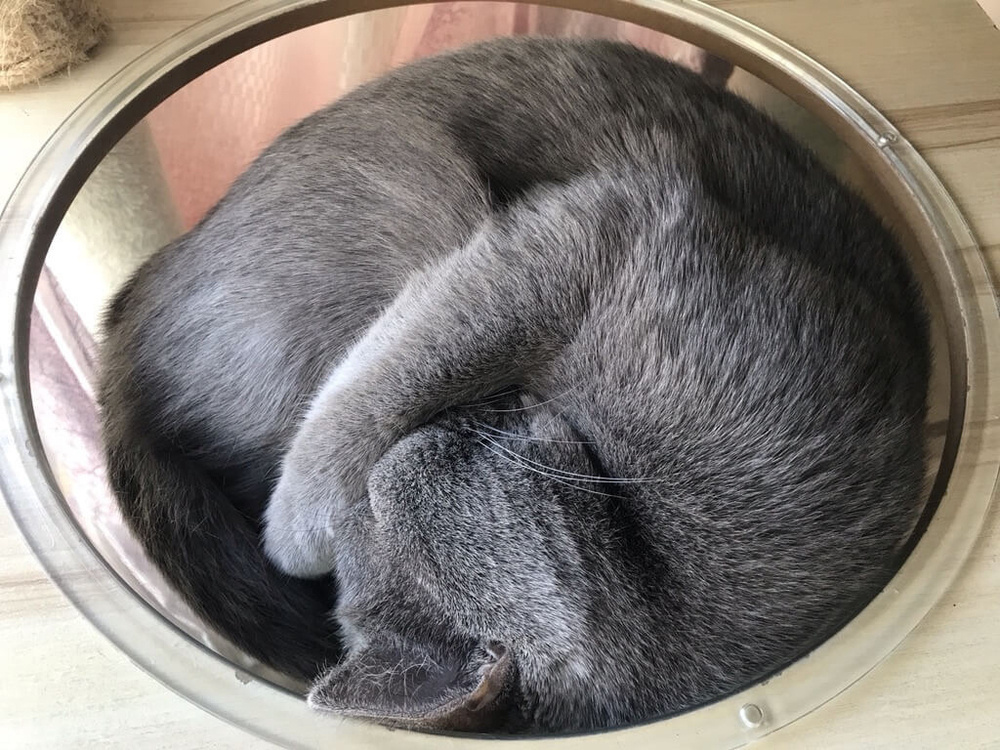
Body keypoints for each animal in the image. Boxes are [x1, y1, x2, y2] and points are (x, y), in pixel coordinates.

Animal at [99, 36, 928, 736]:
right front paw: (295, 533)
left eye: (386, 494)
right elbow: (388, 381)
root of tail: (123, 332)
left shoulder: (594, 234)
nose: (435, 436)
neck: (641, 538)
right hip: (425, 193)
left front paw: (292, 533)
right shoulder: (592, 231)